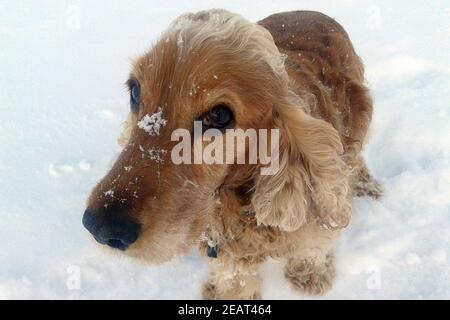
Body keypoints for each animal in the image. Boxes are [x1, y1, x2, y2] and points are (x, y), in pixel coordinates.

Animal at [82, 8, 382, 298]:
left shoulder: (317, 213)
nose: (100, 227)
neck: (233, 201)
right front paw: (228, 293)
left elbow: (312, 247)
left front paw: (309, 277)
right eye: (134, 90)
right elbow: (234, 272)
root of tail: (314, 12)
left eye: (219, 115)